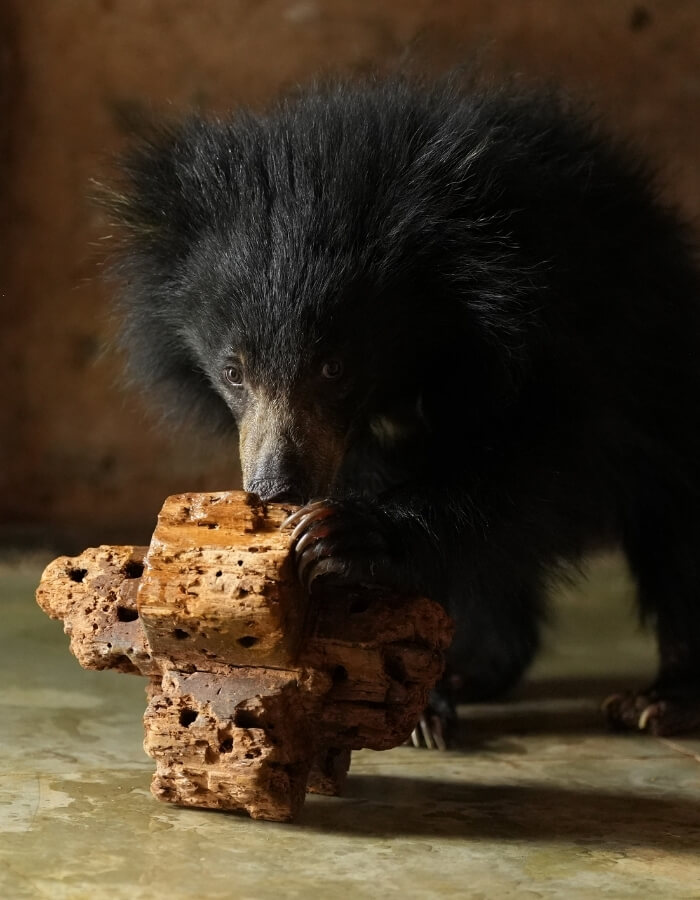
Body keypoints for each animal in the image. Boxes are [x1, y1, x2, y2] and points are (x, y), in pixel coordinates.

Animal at [104, 74, 700, 745]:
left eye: (333, 368)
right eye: (234, 372)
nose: (276, 489)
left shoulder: (559, 330)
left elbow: (549, 455)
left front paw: (343, 533)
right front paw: (419, 699)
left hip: (668, 374)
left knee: (677, 527)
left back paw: (664, 700)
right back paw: (472, 670)